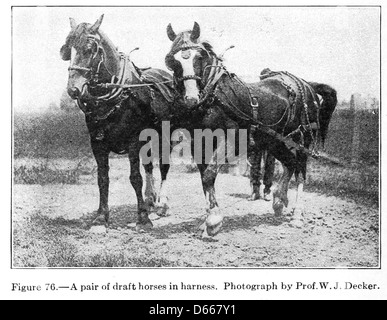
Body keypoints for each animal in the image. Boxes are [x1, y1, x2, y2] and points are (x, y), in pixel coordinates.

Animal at [59, 15, 177, 231]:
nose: (73, 89)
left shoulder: (133, 140)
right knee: (149, 166)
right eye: (66, 50)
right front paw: (100, 218)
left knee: (164, 166)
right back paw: (150, 199)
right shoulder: (97, 143)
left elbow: (135, 178)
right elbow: (102, 179)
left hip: (165, 137)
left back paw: (162, 204)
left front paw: (143, 218)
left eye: (90, 48)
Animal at [165, 22, 338, 236]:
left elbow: (209, 174)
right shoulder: (199, 144)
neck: (214, 97)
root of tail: (307, 85)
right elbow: (204, 177)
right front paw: (207, 220)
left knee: (300, 169)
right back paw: (279, 200)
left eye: (200, 57)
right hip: (275, 142)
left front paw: (213, 222)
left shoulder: (229, 143)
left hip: (302, 139)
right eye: (173, 61)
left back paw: (297, 214)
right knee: (290, 163)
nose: (190, 98)